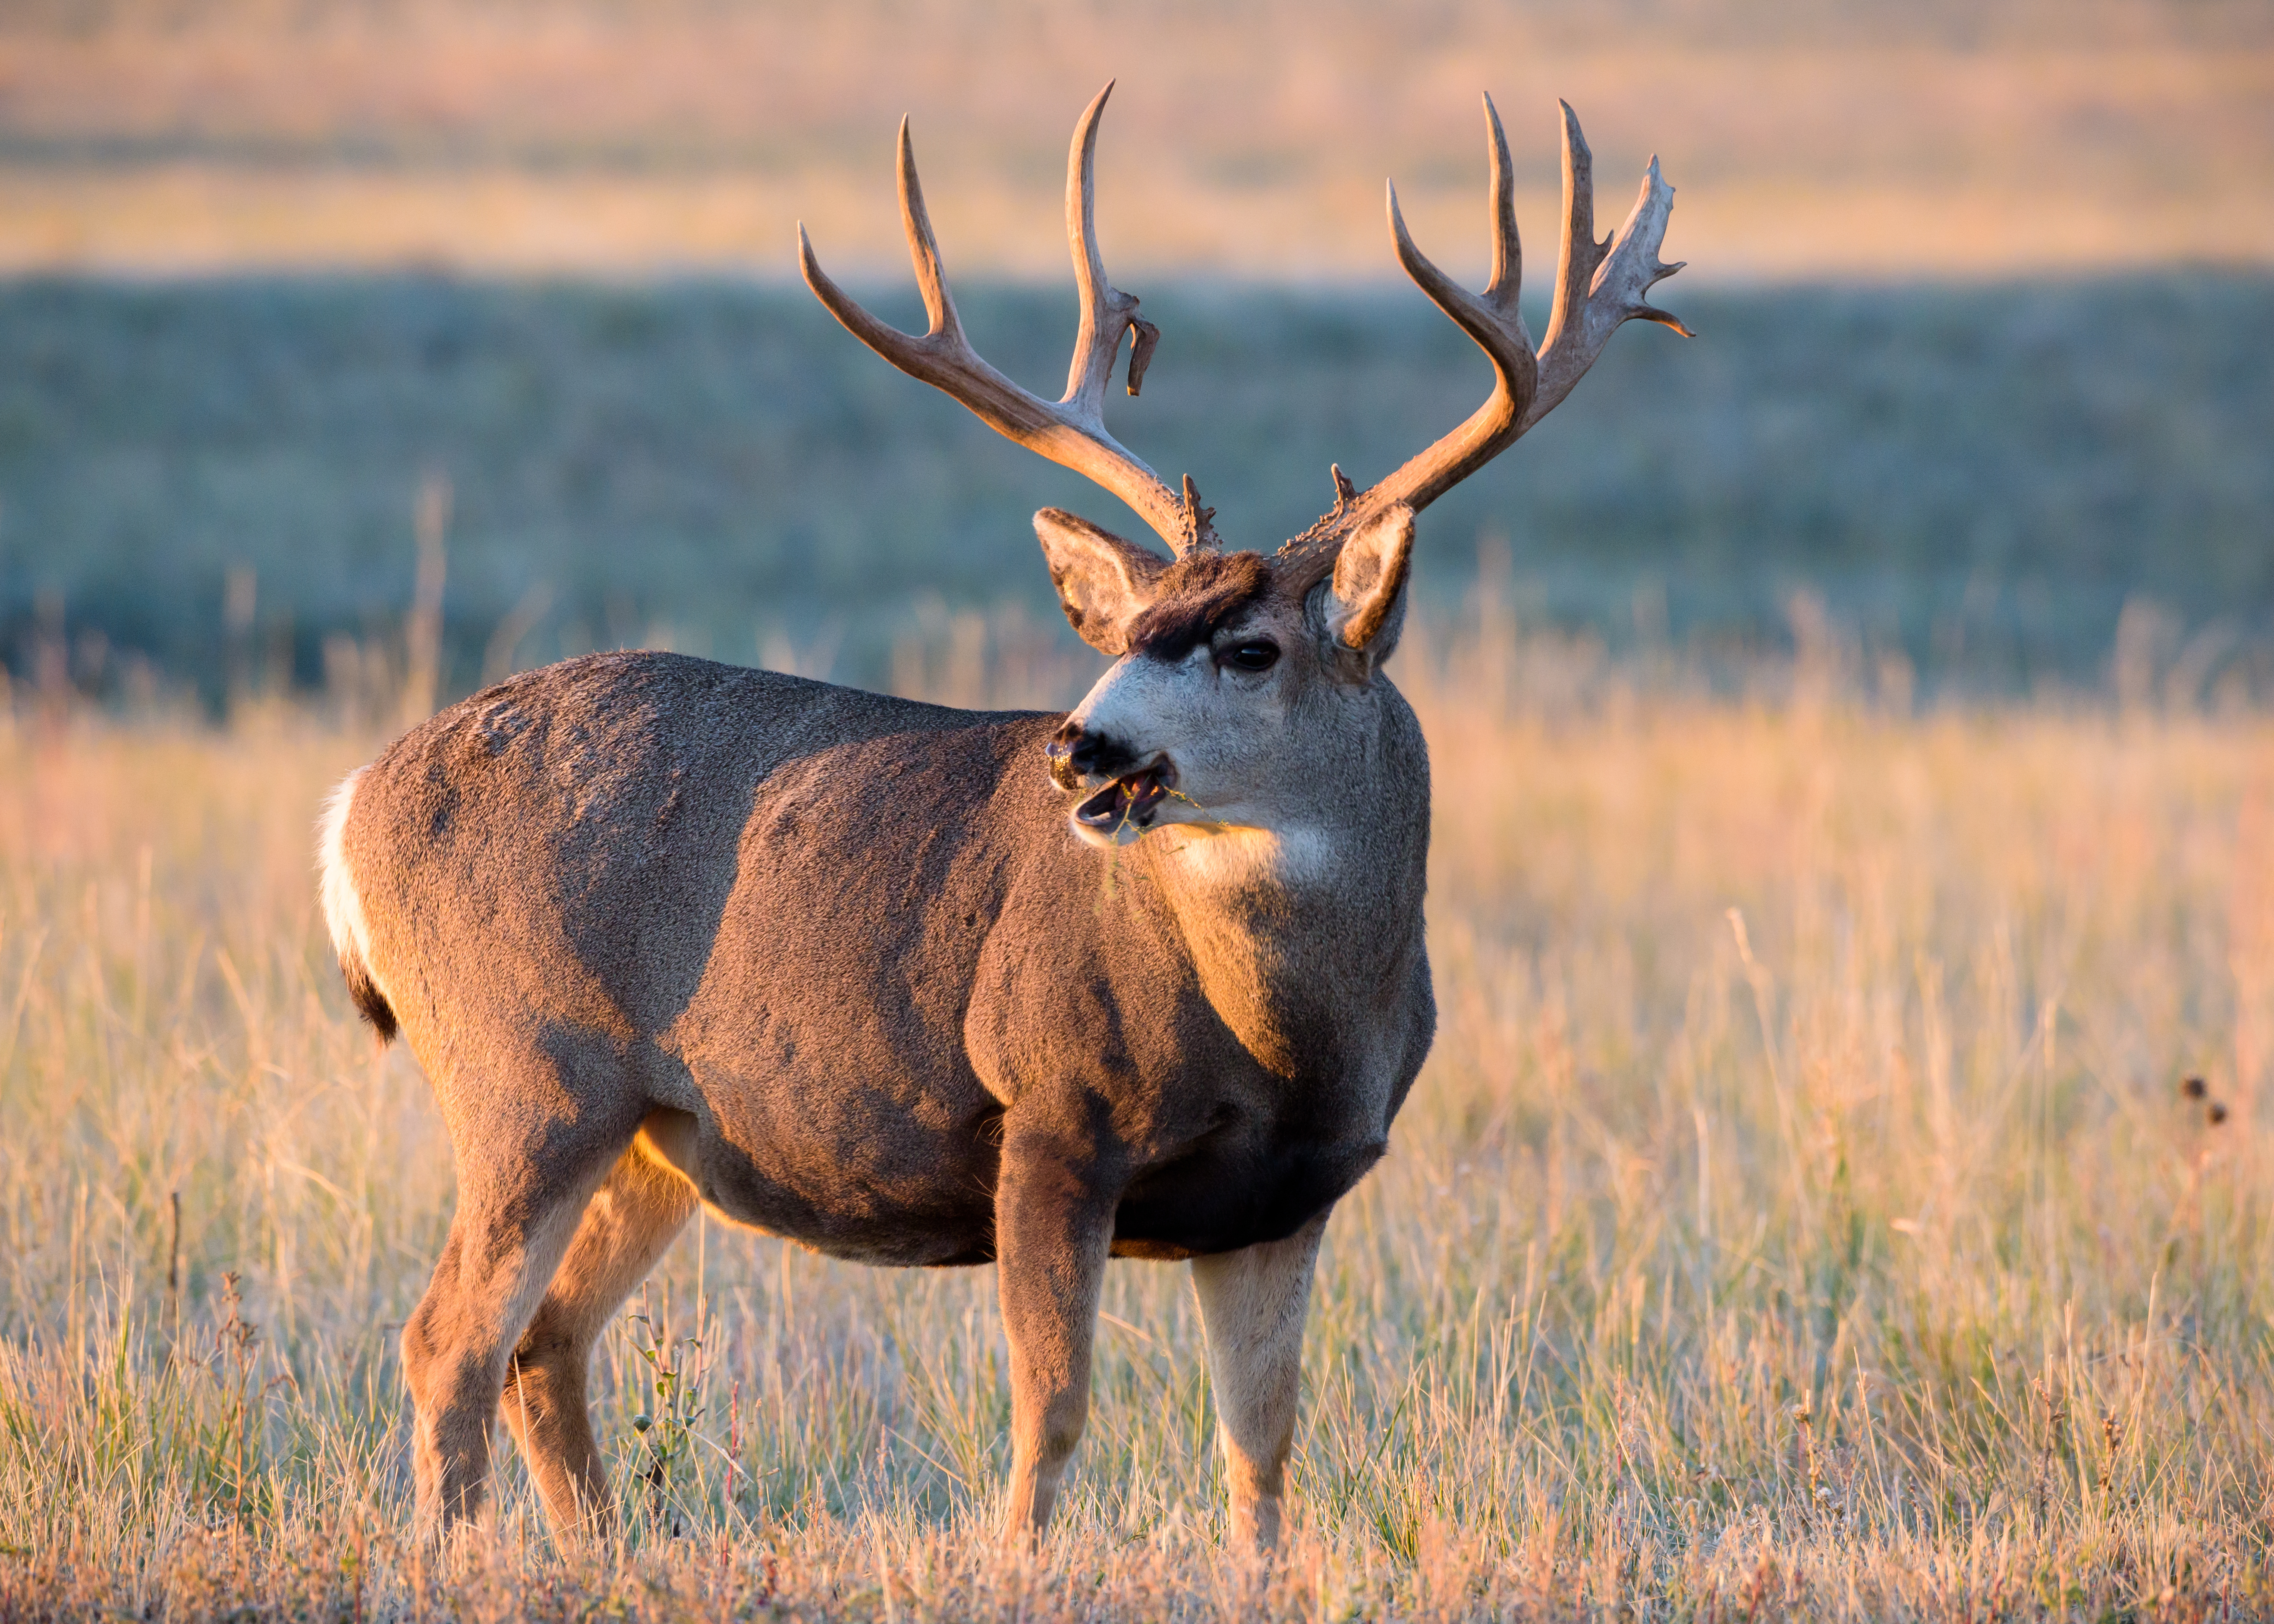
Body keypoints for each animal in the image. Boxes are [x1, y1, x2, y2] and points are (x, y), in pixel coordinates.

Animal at [316, 82, 1673, 1546]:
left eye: (1248, 648)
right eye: (1128, 631)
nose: (1079, 748)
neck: (1286, 1037)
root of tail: (352, 804)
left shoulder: (1284, 1196)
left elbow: (1260, 1447)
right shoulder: (1049, 1111)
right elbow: (1050, 1413)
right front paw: (1018, 1562)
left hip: (650, 1133)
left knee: (540, 1344)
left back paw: (603, 1559)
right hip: (525, 1070)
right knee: (447, 1338)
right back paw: (456, 1557)